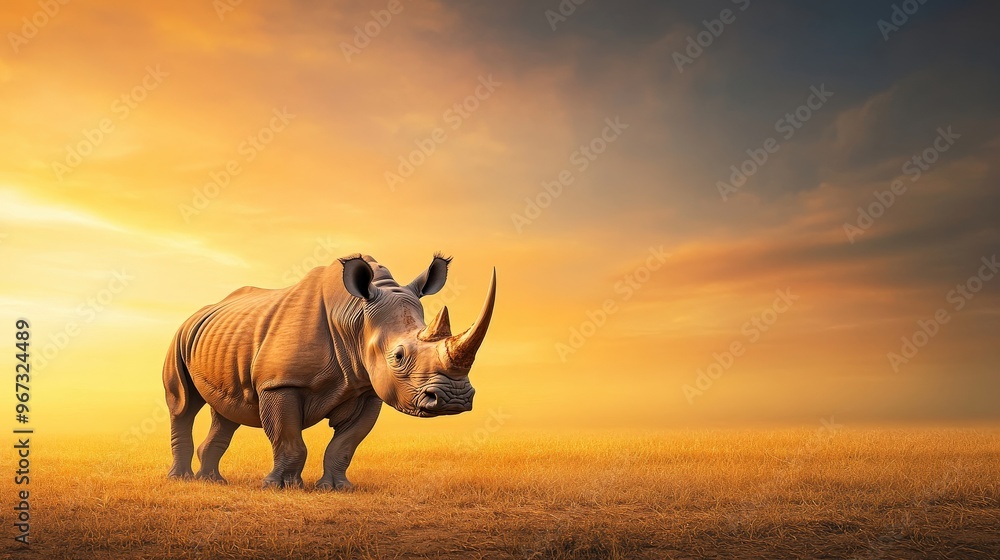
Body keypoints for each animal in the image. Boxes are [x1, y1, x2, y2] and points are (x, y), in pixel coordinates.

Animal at [162, 254, 495, 490]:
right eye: (398, 356)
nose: (454, 399)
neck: (355, 317)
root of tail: (199, 312)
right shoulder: (280, 383)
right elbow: (289, 439)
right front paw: (281, 487)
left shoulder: (368, 388)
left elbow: (345, 444)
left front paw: (336, 488)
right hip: (179, 337)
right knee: (183, 405)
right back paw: (181, 479)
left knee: (227, 413)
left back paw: (213, 481)